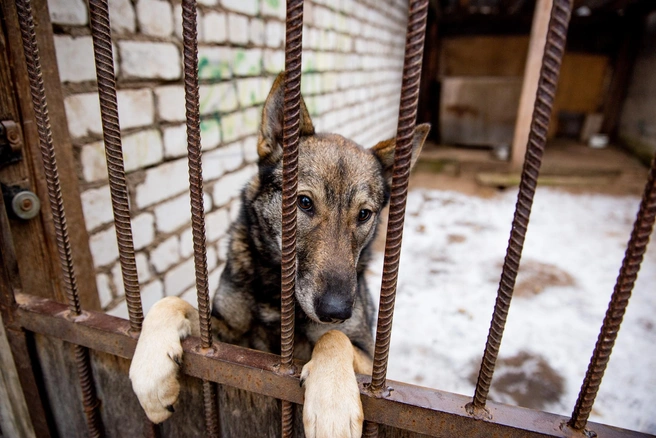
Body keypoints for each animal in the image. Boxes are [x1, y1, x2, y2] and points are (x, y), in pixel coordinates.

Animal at [129, 72, 430, 438]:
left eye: (363, 215)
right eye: (304, 203)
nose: (336, 311)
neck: (276, 292)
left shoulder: (374, 367)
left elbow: (333, 338)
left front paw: (332, 406)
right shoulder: (224, 343)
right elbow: (172, 302)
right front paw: (150, 371)